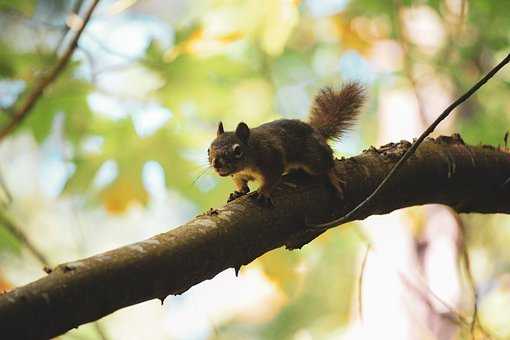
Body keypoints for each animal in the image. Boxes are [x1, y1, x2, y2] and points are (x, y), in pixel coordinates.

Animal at [207, 83, 366, 205]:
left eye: (238, 150)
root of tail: (317, 132)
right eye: (208, 150)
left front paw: (264, 192)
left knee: (326, 163)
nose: (216, 163)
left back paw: (332, 177)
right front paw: (238, 192)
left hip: (313, 157)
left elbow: (272, 179)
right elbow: (242, 185)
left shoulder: (272, 158)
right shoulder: (239, 174)